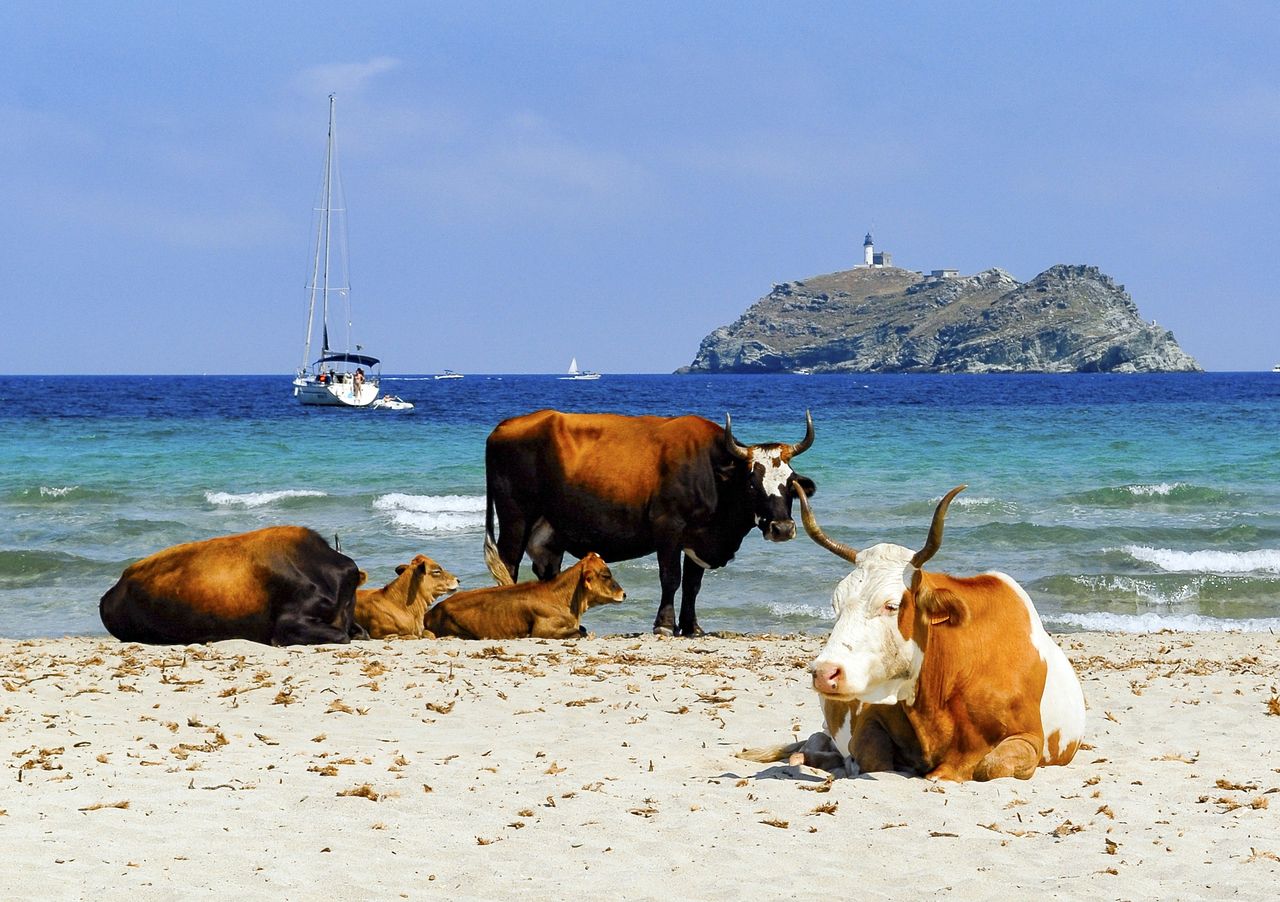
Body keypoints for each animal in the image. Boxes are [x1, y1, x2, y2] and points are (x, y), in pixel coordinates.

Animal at [773, 478, 1085, 783]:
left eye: (891, 605)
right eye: (836, 603)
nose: (825, 673)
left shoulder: (1030, 737)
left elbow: (989, 766)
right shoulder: (869, 721)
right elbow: (874, 759)